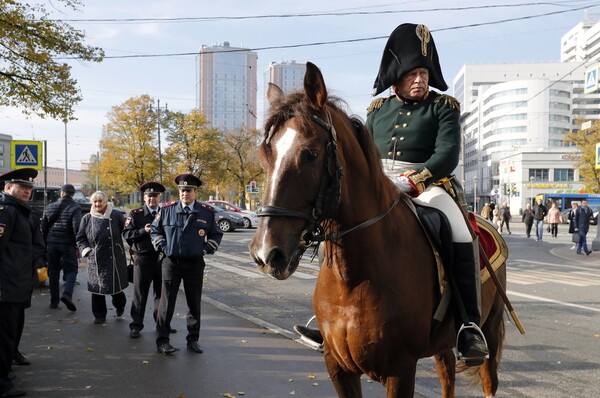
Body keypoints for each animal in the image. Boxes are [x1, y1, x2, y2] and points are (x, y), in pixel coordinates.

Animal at [248, 60, 506, 396]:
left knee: (488, 378)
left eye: (310, 154)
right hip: (442, 344)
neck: (354, 279)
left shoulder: (400, 371)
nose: (267, 254)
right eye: (266, 155)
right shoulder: (338, 367)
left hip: (490, 329)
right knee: (446, 373)